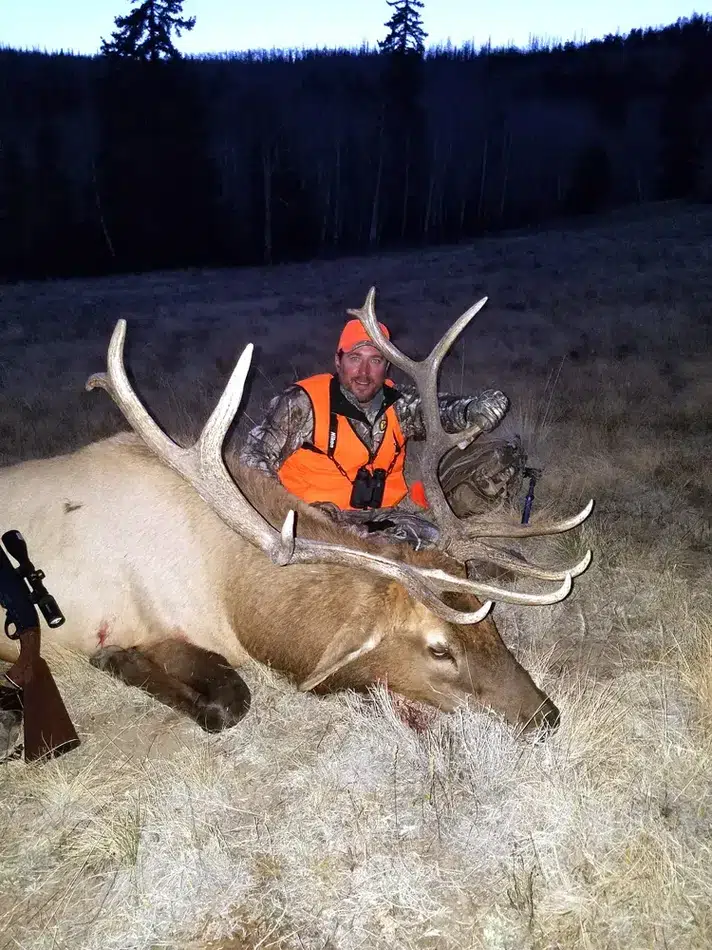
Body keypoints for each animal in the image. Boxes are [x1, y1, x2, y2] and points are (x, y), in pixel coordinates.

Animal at [0, 289, 593, 737]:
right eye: (439, 650)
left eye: (492, 625)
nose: (545, 716)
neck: (232, 593)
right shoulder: (147, 622)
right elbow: (230, 701)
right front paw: (116, 662)